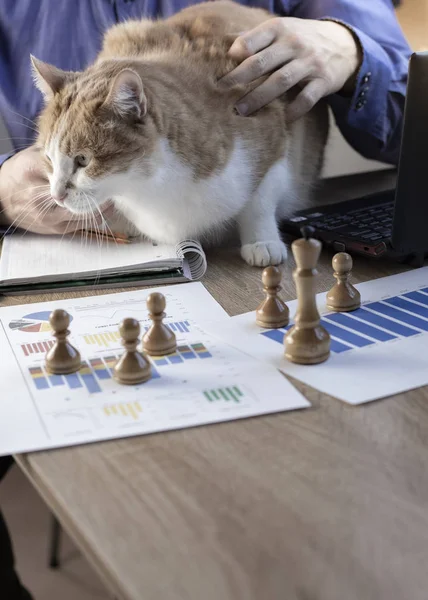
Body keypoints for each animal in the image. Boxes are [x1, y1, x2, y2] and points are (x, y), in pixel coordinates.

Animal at [30, 0, 328, 268]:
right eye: (48, 159)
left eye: (83, 160)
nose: (56, 196)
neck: (151, 188)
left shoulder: (271, 139)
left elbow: (260, 202)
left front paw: (262, 241)